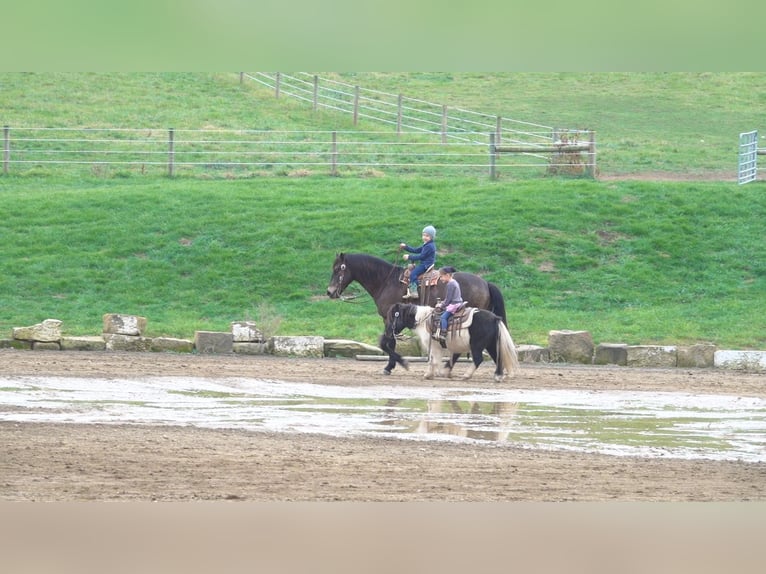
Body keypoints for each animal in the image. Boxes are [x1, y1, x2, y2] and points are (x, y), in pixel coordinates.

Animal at [328, 254, 508, 376]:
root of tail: (485, 283)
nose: (329, 292)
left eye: (337, 269)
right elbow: (389, 342)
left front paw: (394, 365)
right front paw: (392, 365)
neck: (386, 281)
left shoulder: (390, 319)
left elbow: (387, 343)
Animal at [384, 304, 520, 384]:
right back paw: (498, 376)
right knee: (498, 358)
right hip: (490, 345)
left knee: (478, 359)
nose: (388, 333)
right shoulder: (454, 346)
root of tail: (495, 318)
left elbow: (433, 360)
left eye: (393, 316)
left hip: (477, 346)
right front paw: (443, 372)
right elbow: (450, 358)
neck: (424, 320)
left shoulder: (434, 346)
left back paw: (466, 375)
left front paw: (429, 374)